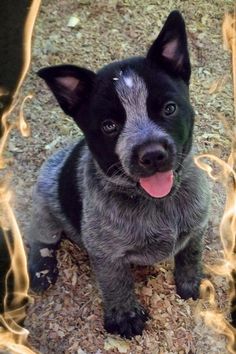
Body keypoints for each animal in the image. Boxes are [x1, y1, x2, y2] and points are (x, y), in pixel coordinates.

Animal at [26, 10, 209, 338]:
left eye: (169, 108)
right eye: (109, 126)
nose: (152, 154)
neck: (157, 203)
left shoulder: (198, 223)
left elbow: (191, 254)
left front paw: (189, 282)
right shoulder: (106, 253)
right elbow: (115, 283)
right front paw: (125, 316)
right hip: (45, 202)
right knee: (42, 238)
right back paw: (41, 270)